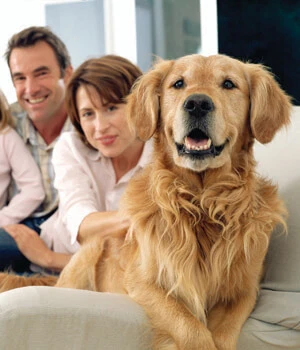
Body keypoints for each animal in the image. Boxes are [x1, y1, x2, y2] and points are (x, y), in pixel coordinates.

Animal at [0, 54, 290, 350]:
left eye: (229, 84)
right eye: (178, 83)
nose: (197, 103)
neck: (201, 201)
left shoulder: (245, 291)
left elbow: (223, 335)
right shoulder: (144, 281)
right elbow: (191, 329)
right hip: (88, 255)